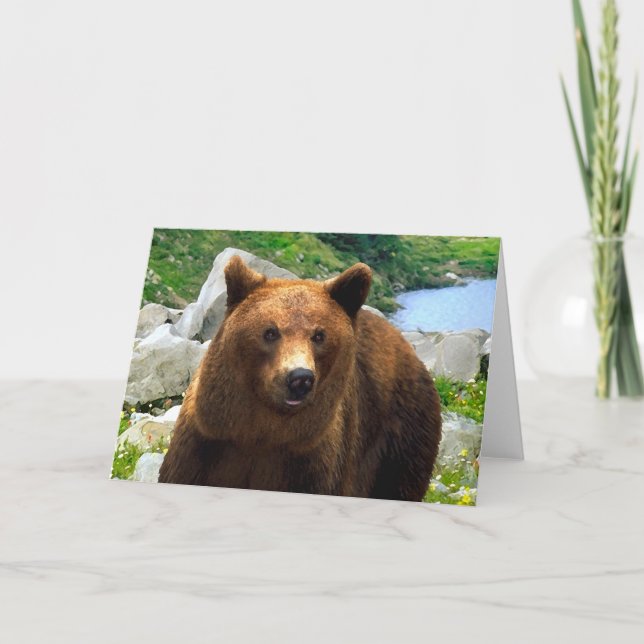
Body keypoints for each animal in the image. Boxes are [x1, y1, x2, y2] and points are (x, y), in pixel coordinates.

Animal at [158, 255, 442, 502]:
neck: (259, 433)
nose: (300, 378)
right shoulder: (206, 444)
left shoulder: (311, 461)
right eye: (270, 332)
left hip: (401, 440)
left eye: (319, 335)